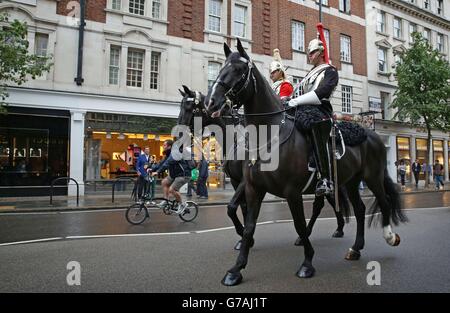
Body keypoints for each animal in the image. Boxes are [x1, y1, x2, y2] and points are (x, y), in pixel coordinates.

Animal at [178, 84, 350, 249]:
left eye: (191, 108)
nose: (179, 135)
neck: (236, 140)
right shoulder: (236, 180)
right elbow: (243, 207)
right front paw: (245, 239)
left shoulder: (244, 180)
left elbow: (232, 207)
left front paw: (244, 236)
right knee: (326, 202)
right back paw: (336, 229)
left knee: (322, 204)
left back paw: (316, 233)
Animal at [206, 37, 406, 284]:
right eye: (222, 68)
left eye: (239, 70)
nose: (212, 103)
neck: (269, 136)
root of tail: (373, 135)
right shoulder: (253, 189)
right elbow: (249, 226)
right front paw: (236, 269)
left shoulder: (292, 192)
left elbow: (299, 224)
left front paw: (307, 263)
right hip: (350, 182)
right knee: (359, 210)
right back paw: (356, 248)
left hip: (372, 177)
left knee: (384, 202)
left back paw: (390, 236)